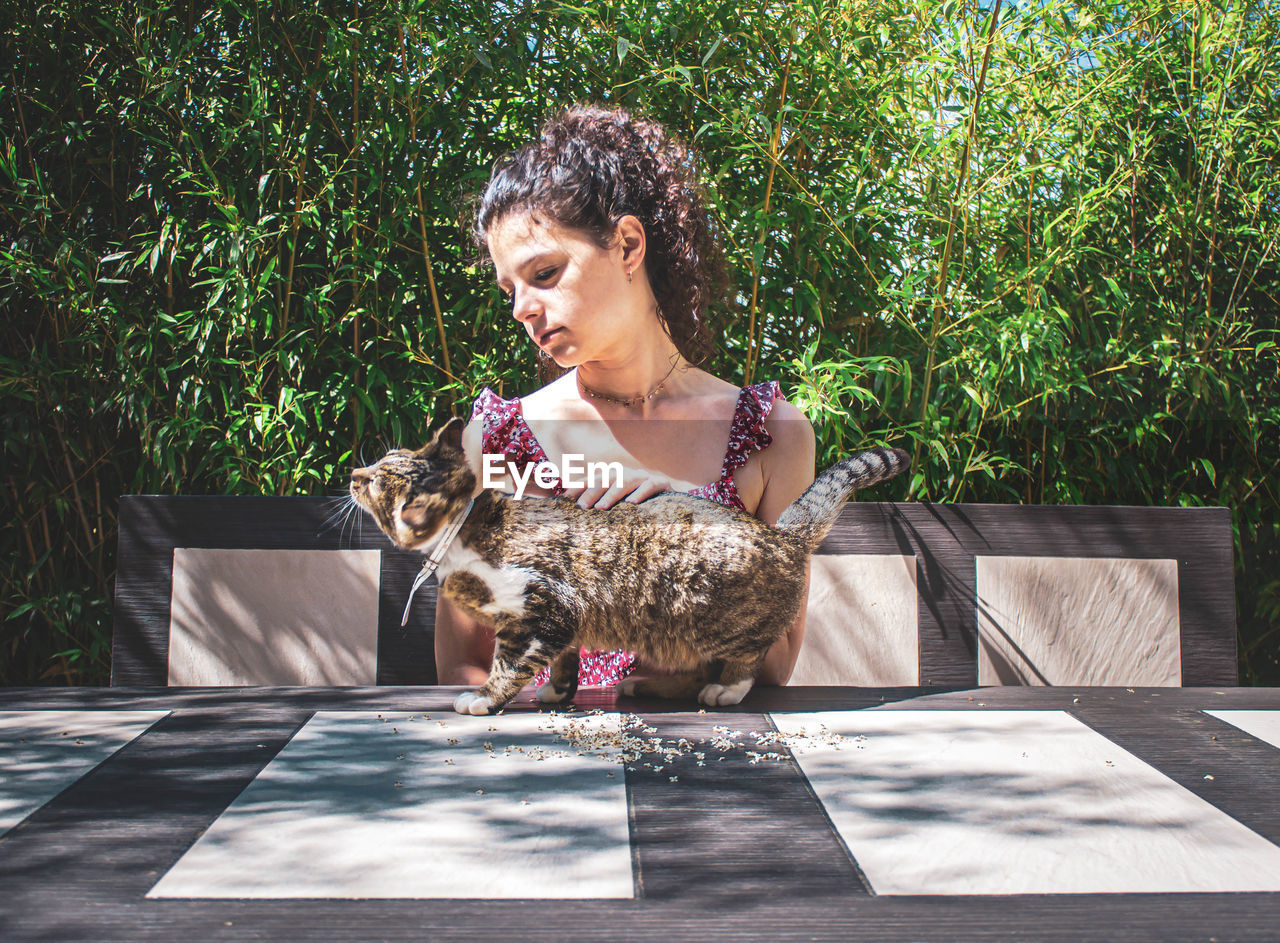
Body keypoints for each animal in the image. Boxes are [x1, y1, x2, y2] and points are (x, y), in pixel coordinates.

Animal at [350, 419, 911, 711]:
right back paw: (649, 685)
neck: (467, 533)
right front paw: (557, 692)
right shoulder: (561, 623)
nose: (353, 473)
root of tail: (779, 532)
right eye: (378, 464)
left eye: (377, 480)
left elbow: (509, 665)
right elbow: (562, 661)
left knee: (744, 655)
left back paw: (725, 689)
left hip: (710, 617)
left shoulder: (543, 608)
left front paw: (484, 698)